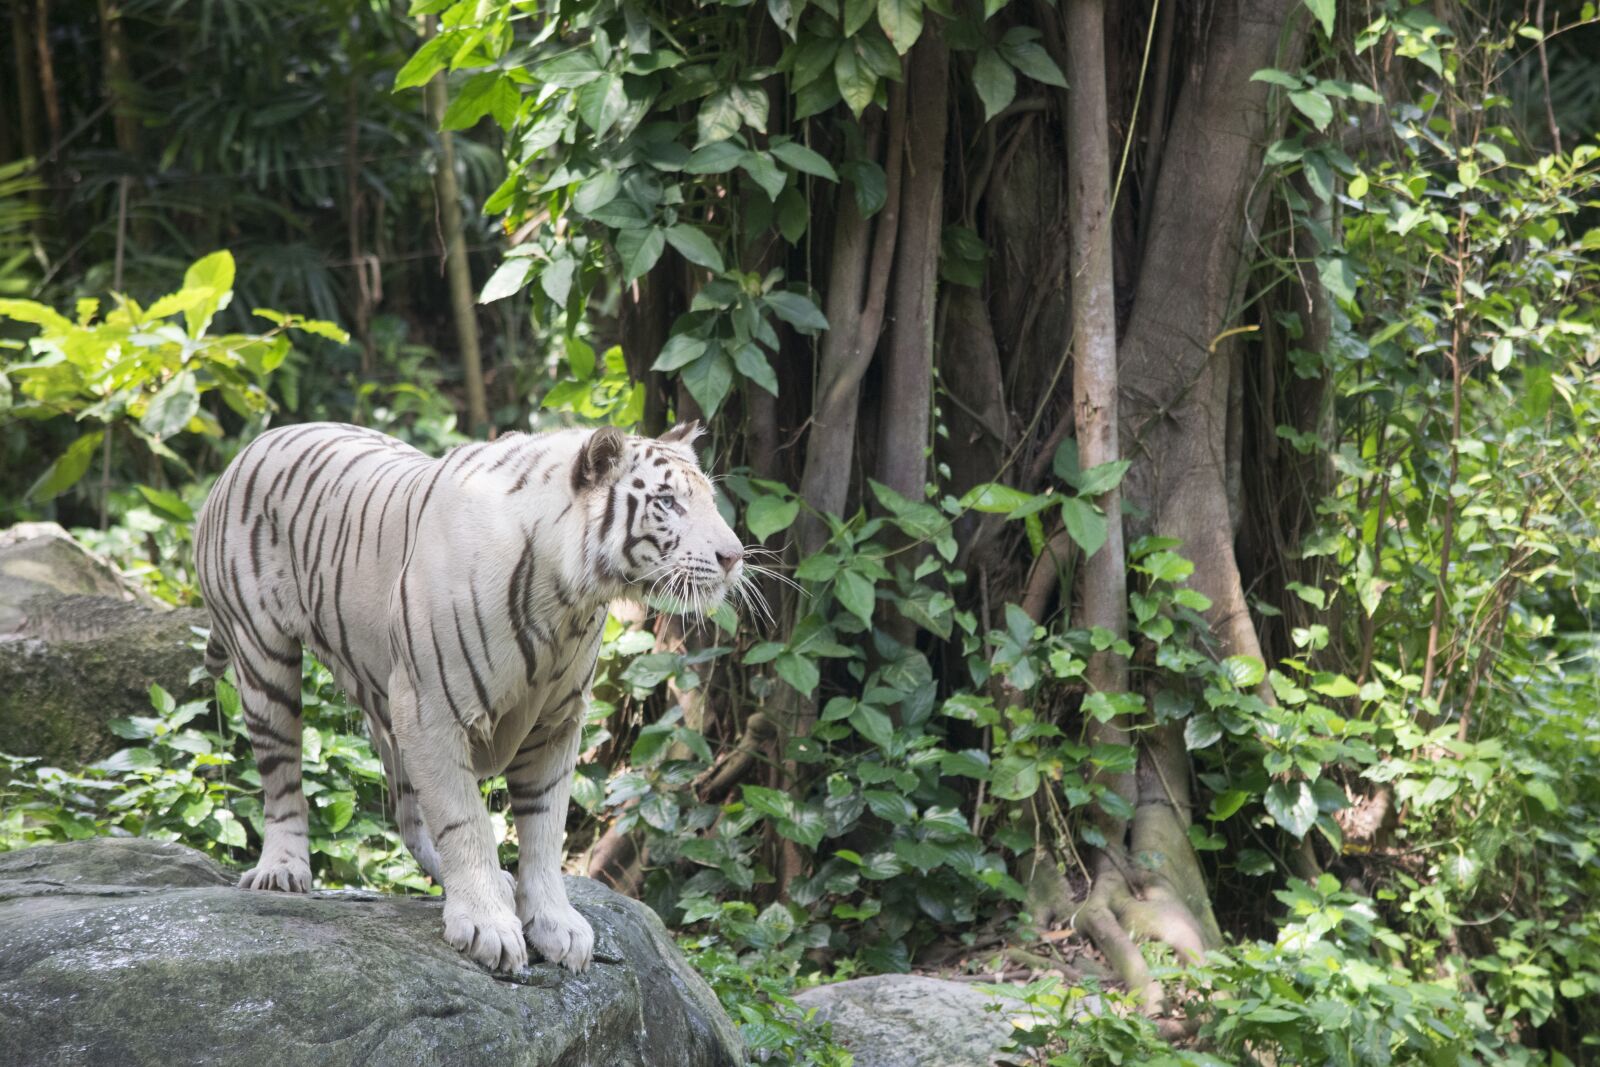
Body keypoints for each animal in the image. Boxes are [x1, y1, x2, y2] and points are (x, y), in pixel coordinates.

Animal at [193, 420, 746, 973]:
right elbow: (466, 821)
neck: (569, 603)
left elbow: (544, 830)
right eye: (667, 502)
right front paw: (487, 925)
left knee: (409, 816)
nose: (735, 556)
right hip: (265, 660)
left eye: (709, 499)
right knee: (282, 777)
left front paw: (555, 924)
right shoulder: (432, 711)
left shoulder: (555, 724)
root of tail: (254, 445)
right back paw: (282, 869)